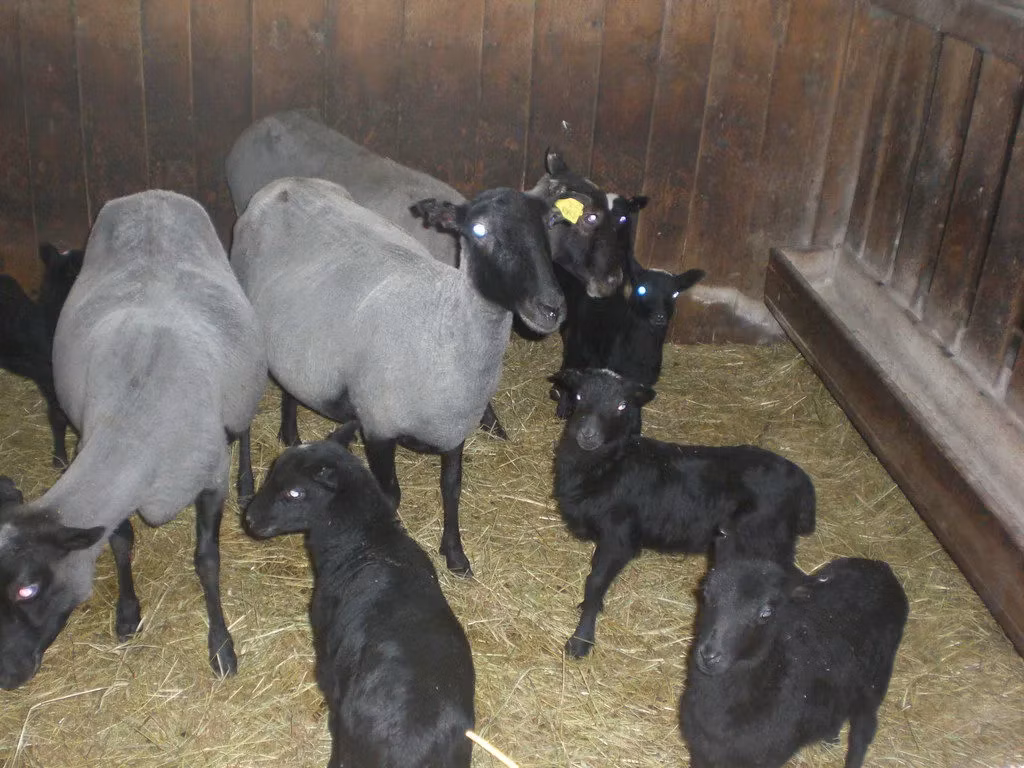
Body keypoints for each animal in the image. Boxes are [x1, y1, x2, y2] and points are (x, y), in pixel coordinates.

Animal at [232, 176, 564, 575]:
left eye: (549, 224)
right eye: (479, 231)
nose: (550, 308)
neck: (444, 324)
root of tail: (283, 183)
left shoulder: (454, 425)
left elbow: (451, 487)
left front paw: (456, 555)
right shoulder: (378, 427)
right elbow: (391, 495)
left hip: (297, 345)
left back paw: (290, 435)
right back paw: (245, 487)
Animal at [550, 367, 815, 657]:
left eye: (622, 405)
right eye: (579, 395)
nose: (588, 434)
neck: (609, 465)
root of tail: (803, 484)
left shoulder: (619, 536)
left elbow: (596, 581)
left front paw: (581, 640)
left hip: (764, 540)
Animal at [681, 552, 909, 768]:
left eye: (766, 613)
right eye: (706, 595)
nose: (709, 655)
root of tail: (879, 567)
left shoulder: (766, 758)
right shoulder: (700, 752)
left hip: (874, 686)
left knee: (862, 734)